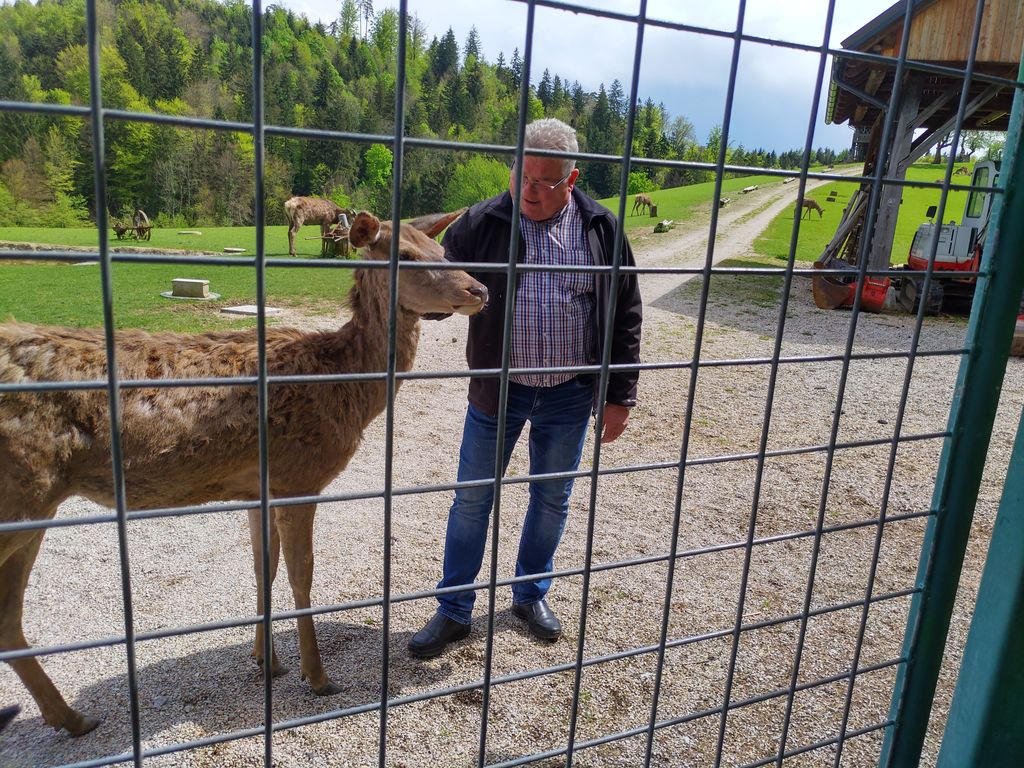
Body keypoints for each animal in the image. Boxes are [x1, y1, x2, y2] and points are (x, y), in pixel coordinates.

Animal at [0, 210, 488, 736]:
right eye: (407, 255)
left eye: (444, 251)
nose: (480, 289)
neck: (345, 389)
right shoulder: (298, 475)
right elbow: (301, 575)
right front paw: (317, 676)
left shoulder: (258, 487)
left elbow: (262, 568)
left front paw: (266, 660)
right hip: (25, 494)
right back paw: (71, 716)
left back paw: (68, 717)